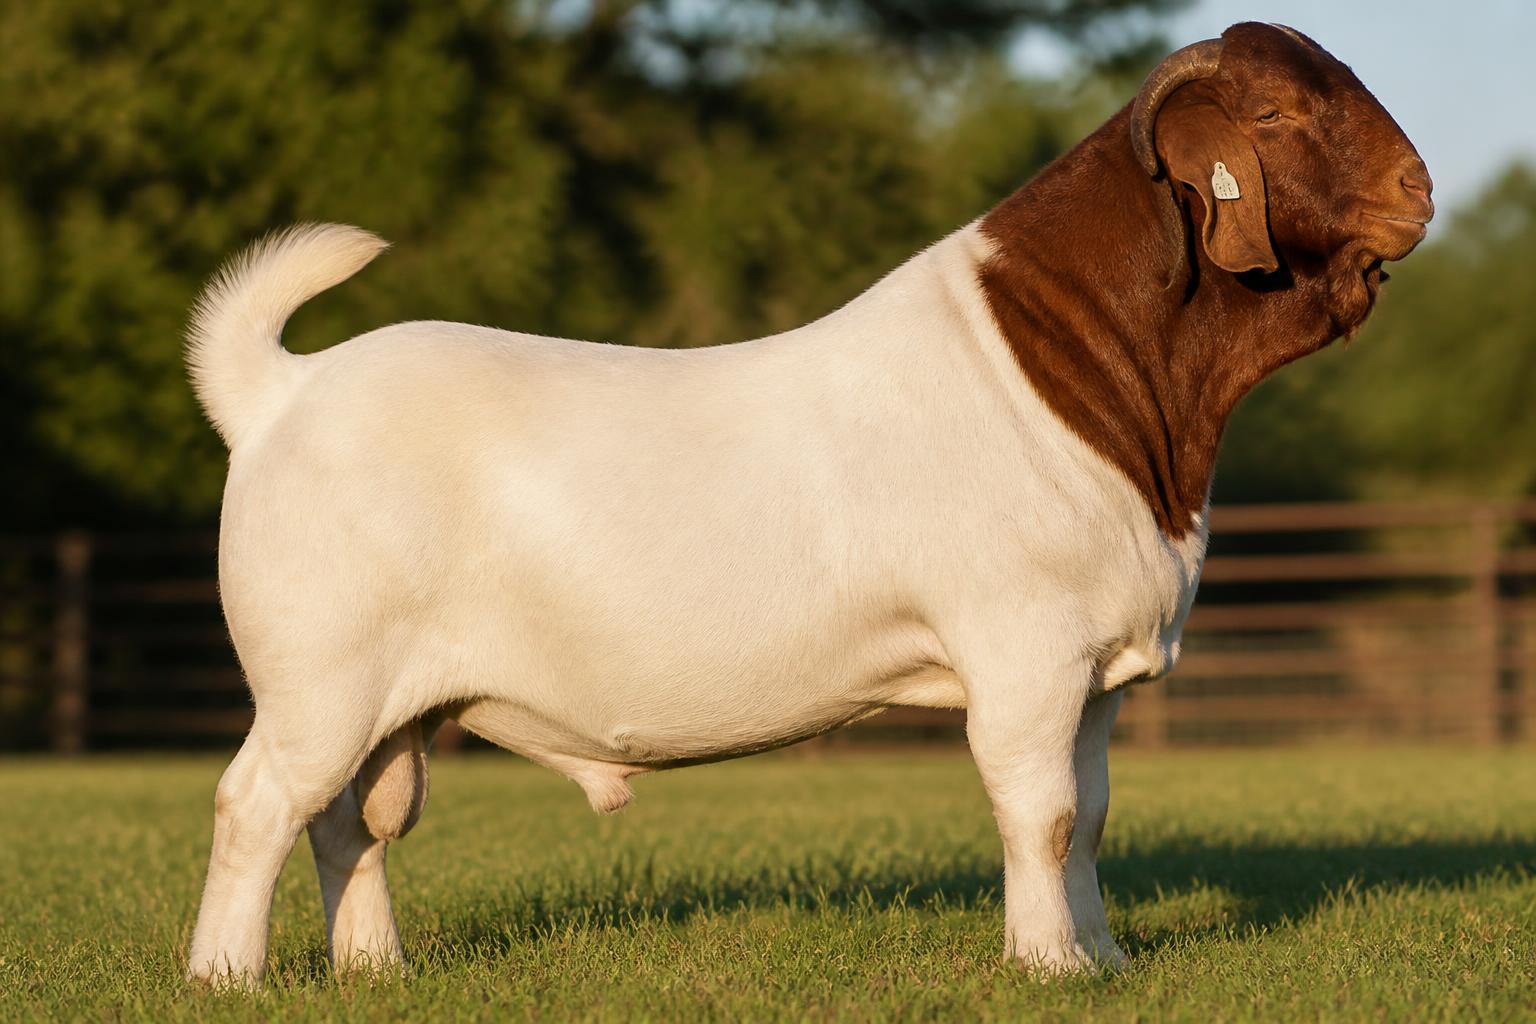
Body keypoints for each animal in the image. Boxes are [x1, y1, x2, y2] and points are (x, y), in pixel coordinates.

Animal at [185, 22, 1432, 982]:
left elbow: (1091, 813)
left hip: (381, 700)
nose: (1417, 189)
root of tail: (282, 390)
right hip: (317, 674)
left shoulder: (1095, 677)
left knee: (351, 819)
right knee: (258, 802)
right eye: (1274, 114)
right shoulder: (1023, 653)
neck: (1089, 372)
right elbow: (1041, 812)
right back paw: (226, 975)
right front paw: (1048, 966)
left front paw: (1106, 959)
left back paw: (375, 968)